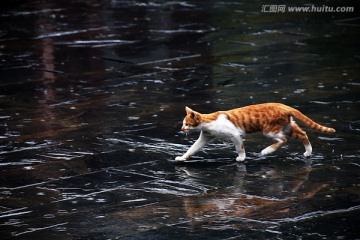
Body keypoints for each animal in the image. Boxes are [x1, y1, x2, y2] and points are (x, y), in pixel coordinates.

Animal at [176, 102, 336, 161]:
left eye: (186, 124)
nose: (182, 129)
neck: (208, 123)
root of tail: (284, 105)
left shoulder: (235, 135)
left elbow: (240, 148)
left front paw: (241, 158)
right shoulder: (205, 137)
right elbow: (192, 148)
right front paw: (182, 157)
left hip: (269, 130)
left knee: (282, 140)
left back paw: (266, 151)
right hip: (288, 126)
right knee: (303, 134)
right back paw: (308, 152)